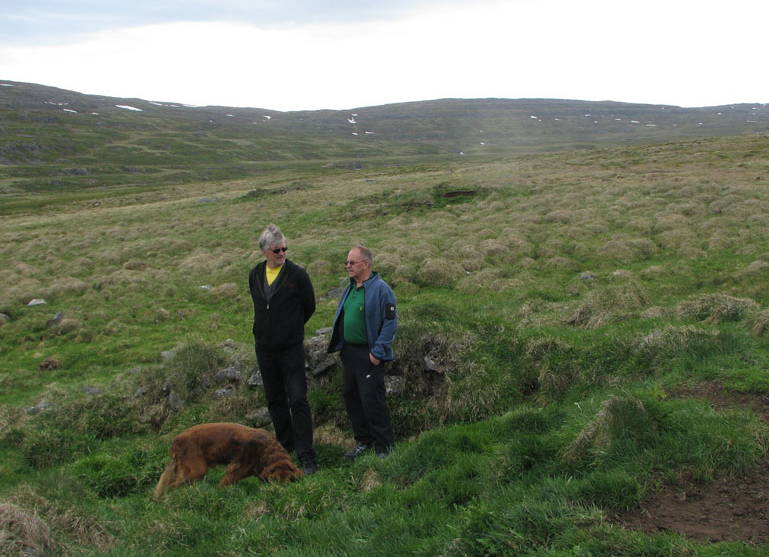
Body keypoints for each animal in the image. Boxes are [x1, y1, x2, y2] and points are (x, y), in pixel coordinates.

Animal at [153, 424, 300, 498]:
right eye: (275, 482)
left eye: (288, 483)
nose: (279, 494)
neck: (267, 450)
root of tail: (176, 439)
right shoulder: (235, 471)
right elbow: (222, 485)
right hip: (197, 470)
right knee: (171, 487)